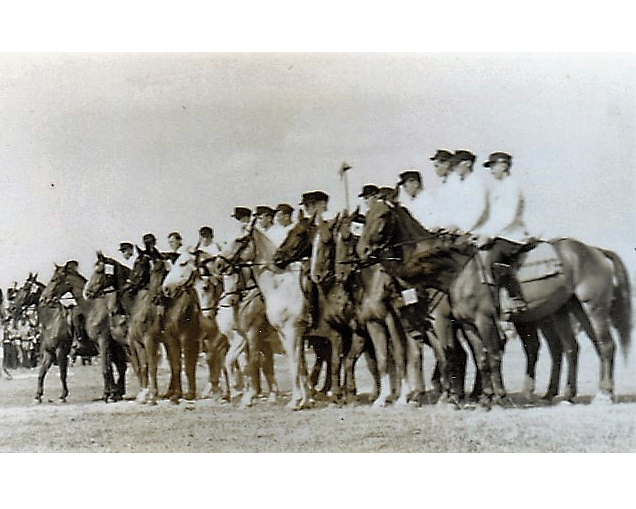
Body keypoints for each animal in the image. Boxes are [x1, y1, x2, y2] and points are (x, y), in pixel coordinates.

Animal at [358, 198, 628, 404]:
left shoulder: (464, 321)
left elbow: (467, 355)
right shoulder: (458, 324)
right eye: (365, 217)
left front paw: (481, 397)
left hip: (592, 308)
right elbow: (477, 357)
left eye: (382, 215)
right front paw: (479, 396)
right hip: (565, 310)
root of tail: (595, 251)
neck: (458, 273)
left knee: (604, 345)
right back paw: (564, 394)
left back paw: (603, 395)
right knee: (573, 348)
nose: (363, 252)